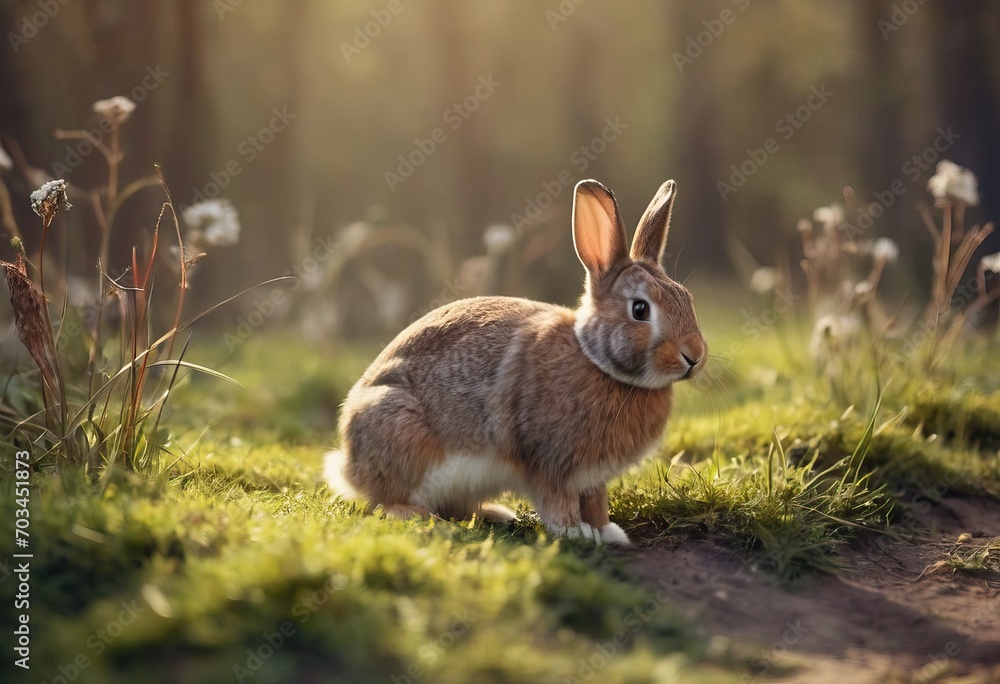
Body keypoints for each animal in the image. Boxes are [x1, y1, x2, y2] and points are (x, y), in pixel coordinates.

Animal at [324, 179, 706, 545]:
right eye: (640, 309)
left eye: (687, 299)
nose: (695, 356)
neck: (598, 362)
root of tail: (347, 464)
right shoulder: (550, 466)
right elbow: (557, 504)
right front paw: (575, 533)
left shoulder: (590, 479)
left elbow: (596, 503)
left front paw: (608, 533)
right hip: (404, 437)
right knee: (384, 501)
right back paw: (419, 515)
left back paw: (495, 512)